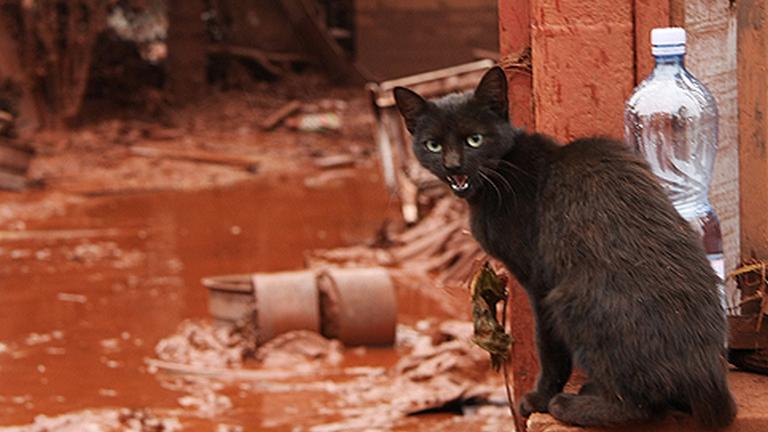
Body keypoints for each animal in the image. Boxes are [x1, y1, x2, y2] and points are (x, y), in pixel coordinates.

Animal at [396, 67, 736, 428]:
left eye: (474, 139)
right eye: (432, 145)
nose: (453, 165)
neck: (501, 175)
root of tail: (709, 378)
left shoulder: (538, 284)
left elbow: (549, 351)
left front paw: (540, 398)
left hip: (568, 301)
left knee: (639, 406)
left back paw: (570, 405)